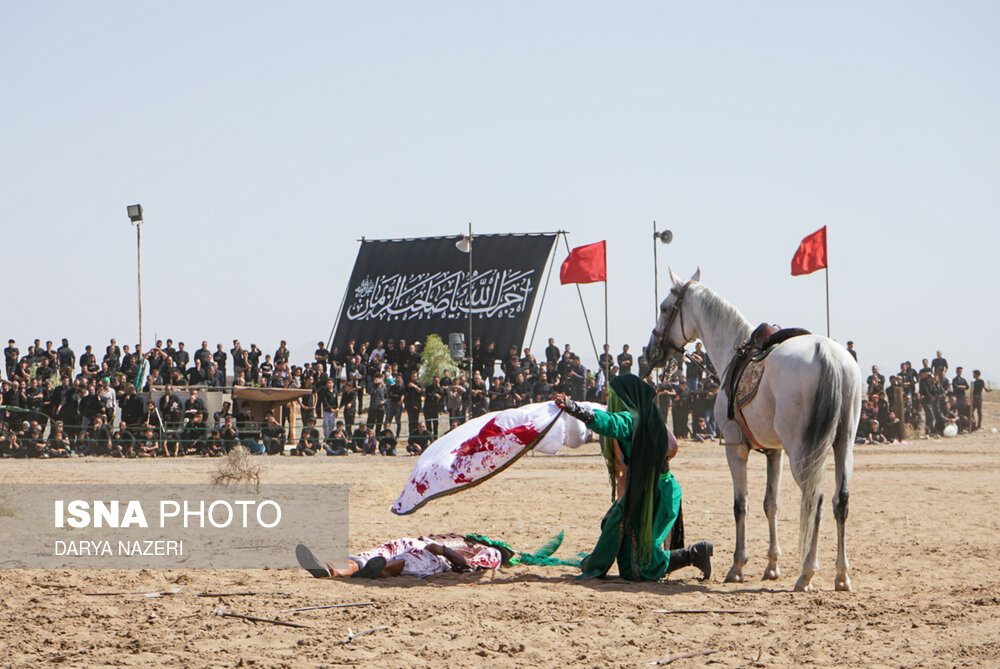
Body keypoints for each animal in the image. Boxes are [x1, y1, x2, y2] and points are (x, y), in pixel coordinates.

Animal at [644, 268, 864, 588]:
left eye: (663, 308)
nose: (652, 351)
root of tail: (828, 355)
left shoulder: (736, 448)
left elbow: (741, 505)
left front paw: (737, 566)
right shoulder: (775, 452)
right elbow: (771, 504)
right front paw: (772, 566)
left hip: (804, 451)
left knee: (816, 499)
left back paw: (807, 572)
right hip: (843, 444)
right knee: (840, 501)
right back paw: (842, 574)